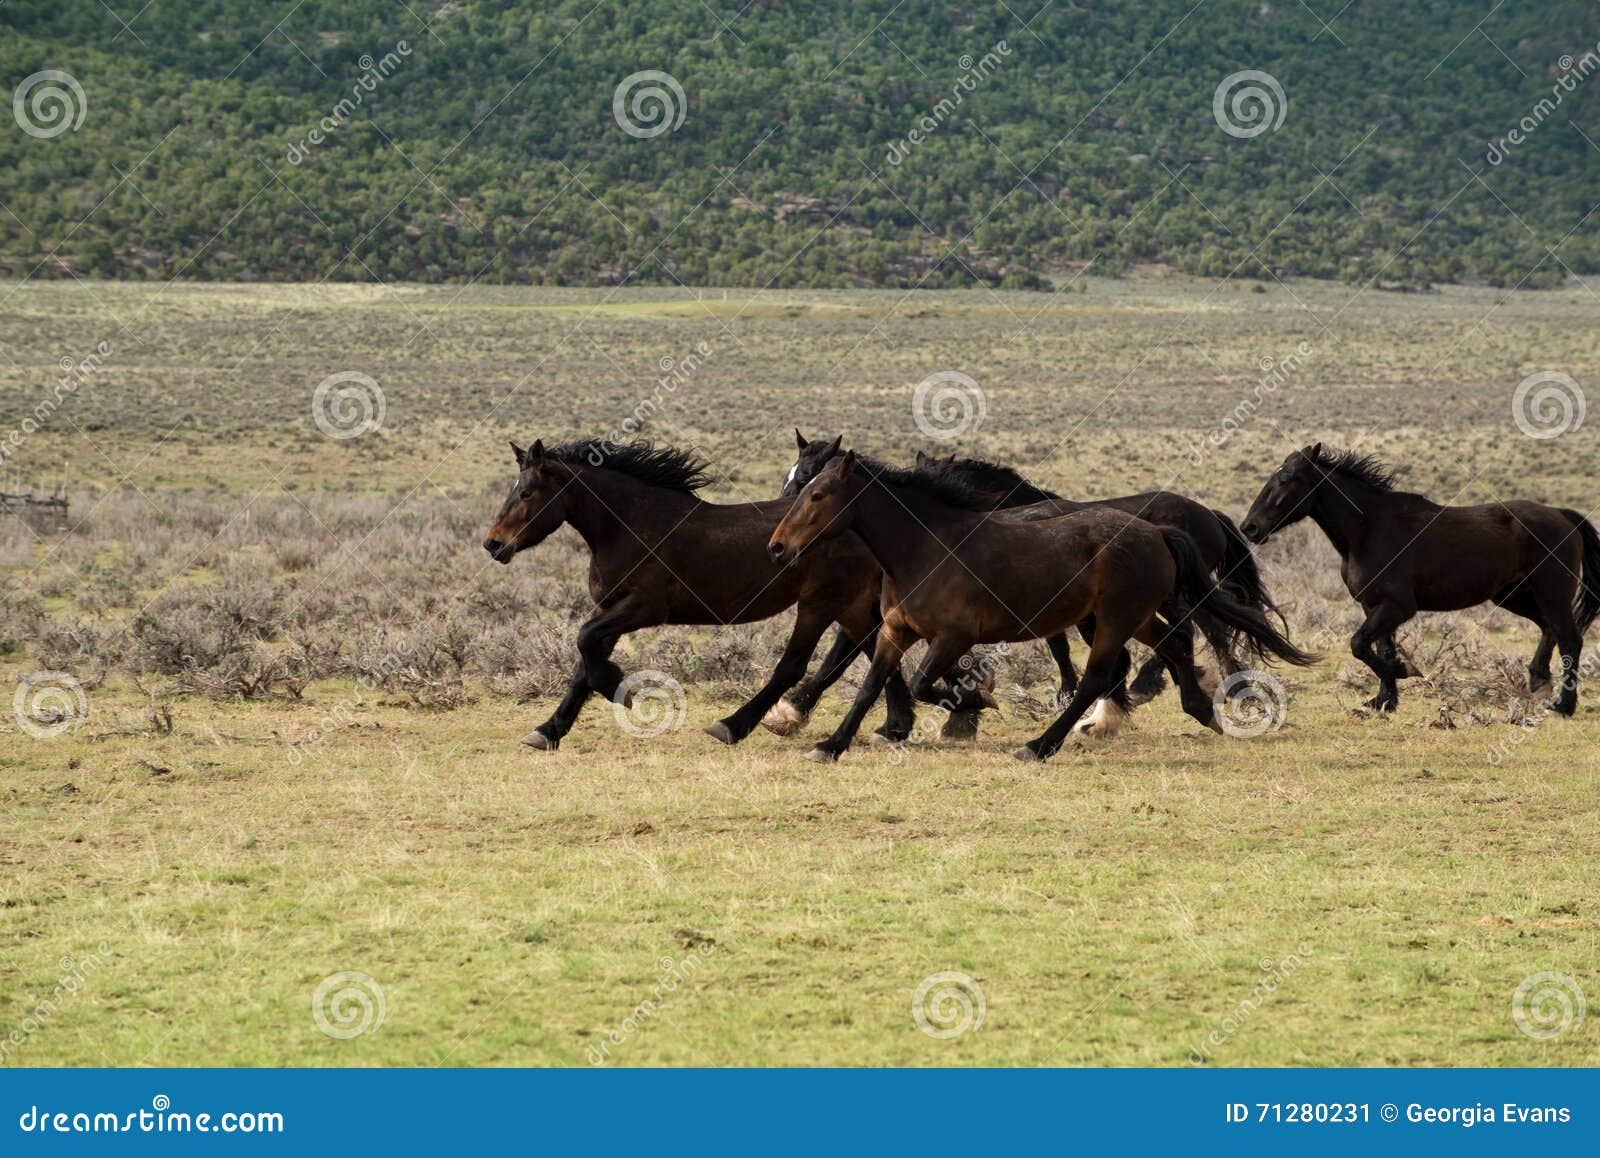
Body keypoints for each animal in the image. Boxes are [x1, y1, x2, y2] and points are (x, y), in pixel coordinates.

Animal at [476, 438, 915, 745]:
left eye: (527, 492)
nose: (493, 544)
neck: (628, 525)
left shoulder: (643, 608)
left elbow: (585, 644)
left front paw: (620, 690)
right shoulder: (610, 608)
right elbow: (584, 664)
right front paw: (548, 730)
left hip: (820, 602)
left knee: (794, 665)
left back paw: (732, 726)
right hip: (848, 604)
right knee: (877, 648)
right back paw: (895, 726)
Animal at [764, 451, 1312, 761]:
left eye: (819, 493)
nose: (777, 546)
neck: (924, 547)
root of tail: (1157, 531)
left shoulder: (954, 638)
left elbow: (921, 683)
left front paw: (974, 705)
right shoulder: (894, 630)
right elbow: (870, 685)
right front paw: (830, 745)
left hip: (1115, 619)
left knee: (1102, 675)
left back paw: (1041, 745)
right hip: (1136, 617)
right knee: (1176, 642)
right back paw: (1200, 710)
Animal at [1248, 444, 1600, 710]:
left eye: (1288, 479)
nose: (1249, 527)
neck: (1370, 530)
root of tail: (1562, 516)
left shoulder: (1397, 606)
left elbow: (1359, 645)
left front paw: (1404, 670)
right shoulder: (1374, 606)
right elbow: (1379, 648)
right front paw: (1384, 701)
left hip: (1551, 593)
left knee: (1570, 637)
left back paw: (1563, 705)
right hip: (1514, 596)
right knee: (1549, 629)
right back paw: (1539, 683)